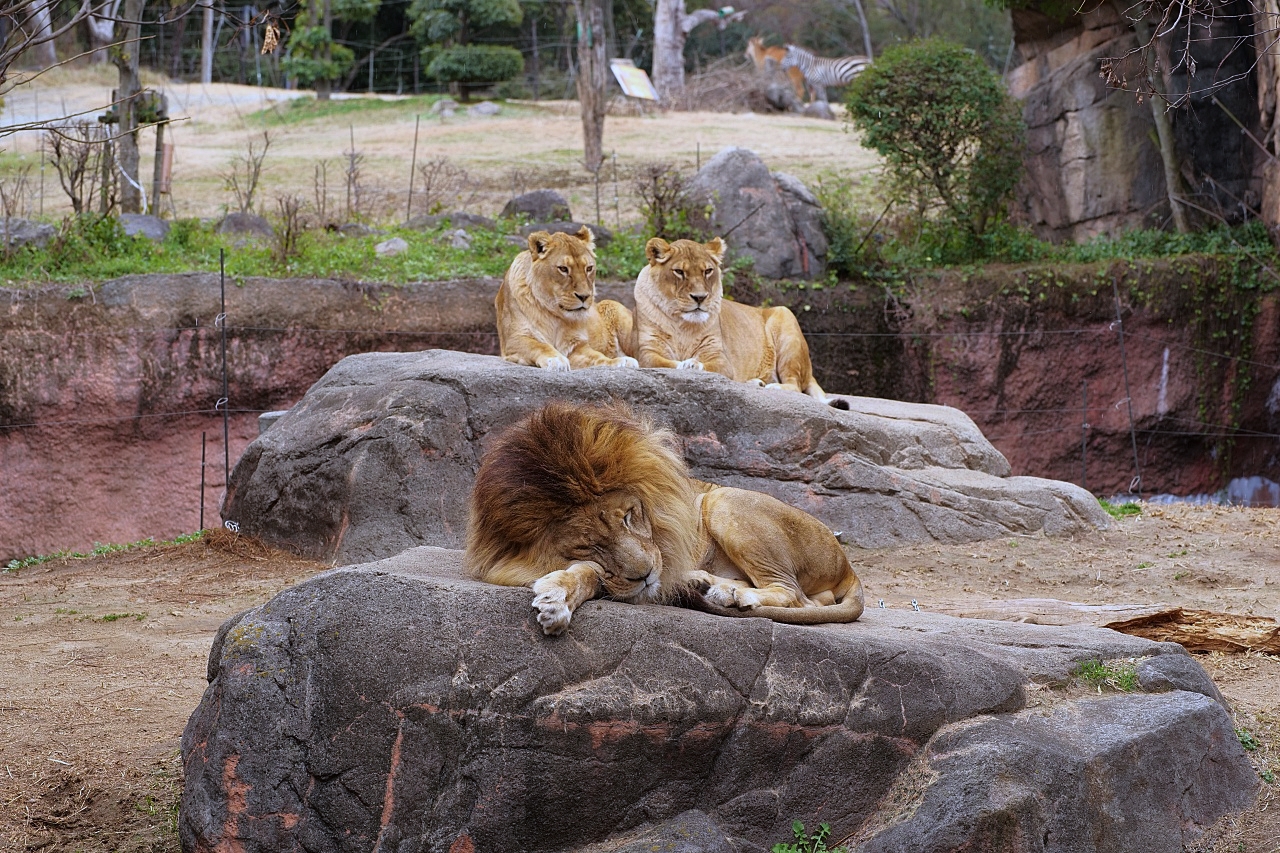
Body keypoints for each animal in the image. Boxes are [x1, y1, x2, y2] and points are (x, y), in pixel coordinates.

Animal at [465, 402, 865, 635]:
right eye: (590, 544)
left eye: (629, 517)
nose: (646, 576)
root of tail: (849, 567)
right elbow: (589, 572)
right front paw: (558, 597)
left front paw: (555, 599)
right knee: (810, 600)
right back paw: (707, 585)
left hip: (723, 500)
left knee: (795, 595)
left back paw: (736, 595)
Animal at [499, 225, 640, 368]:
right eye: (563, 269)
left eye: (589, 268)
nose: (584, 296)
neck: (554, 316)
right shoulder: (514, 339)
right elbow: (539, 345)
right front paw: (555, 358)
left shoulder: (576, 345)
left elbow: (597, 356)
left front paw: (618, 361)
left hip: (614, 307)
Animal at [634, 234, 844, 404]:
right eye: (679, 272)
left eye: (707, 271)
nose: (700, 297)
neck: (682, 323)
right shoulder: (647, 351)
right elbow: (663, 363)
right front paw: (686, 363)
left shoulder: (721, 359)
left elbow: (709, 366)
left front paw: (692, 364)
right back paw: (755, 383)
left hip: (786, 321)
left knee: (796, 386)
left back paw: (772, 387)